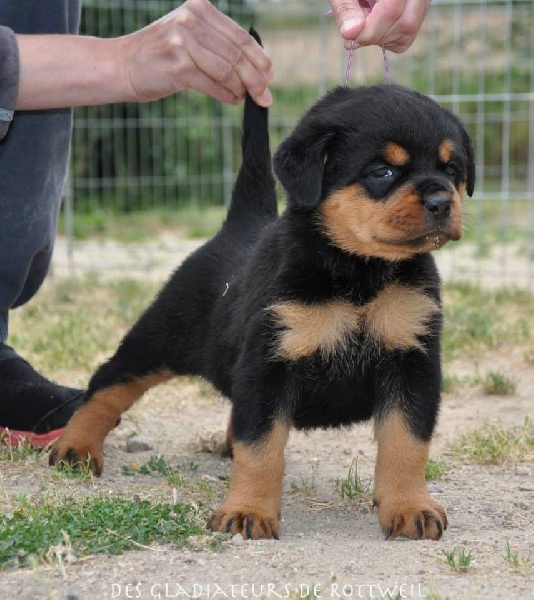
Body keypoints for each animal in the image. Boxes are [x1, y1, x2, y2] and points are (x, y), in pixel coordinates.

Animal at [51, 77, 478, 540]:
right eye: (381, 171)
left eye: (451, 170)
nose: (442, 201)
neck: (359, 272)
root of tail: (239, 225)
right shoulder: (270, 360)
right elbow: (260, 446)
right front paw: (248, 511)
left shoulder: (413, 359)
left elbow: (407, 443)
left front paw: (409, 507)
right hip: (159, 338)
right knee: (108, 381)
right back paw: (75, 447)